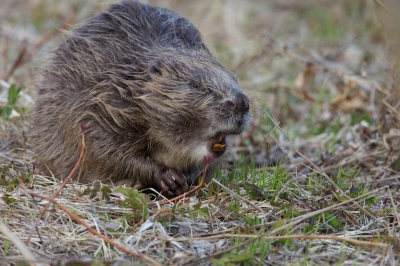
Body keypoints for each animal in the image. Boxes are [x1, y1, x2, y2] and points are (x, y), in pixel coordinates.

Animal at [30, 0, 250, 197]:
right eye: (195, 84)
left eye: (234, 78)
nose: (240, 103)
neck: (131, 81)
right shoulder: (100, 106)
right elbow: (104, 150)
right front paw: (170, 178)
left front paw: (185, 179)